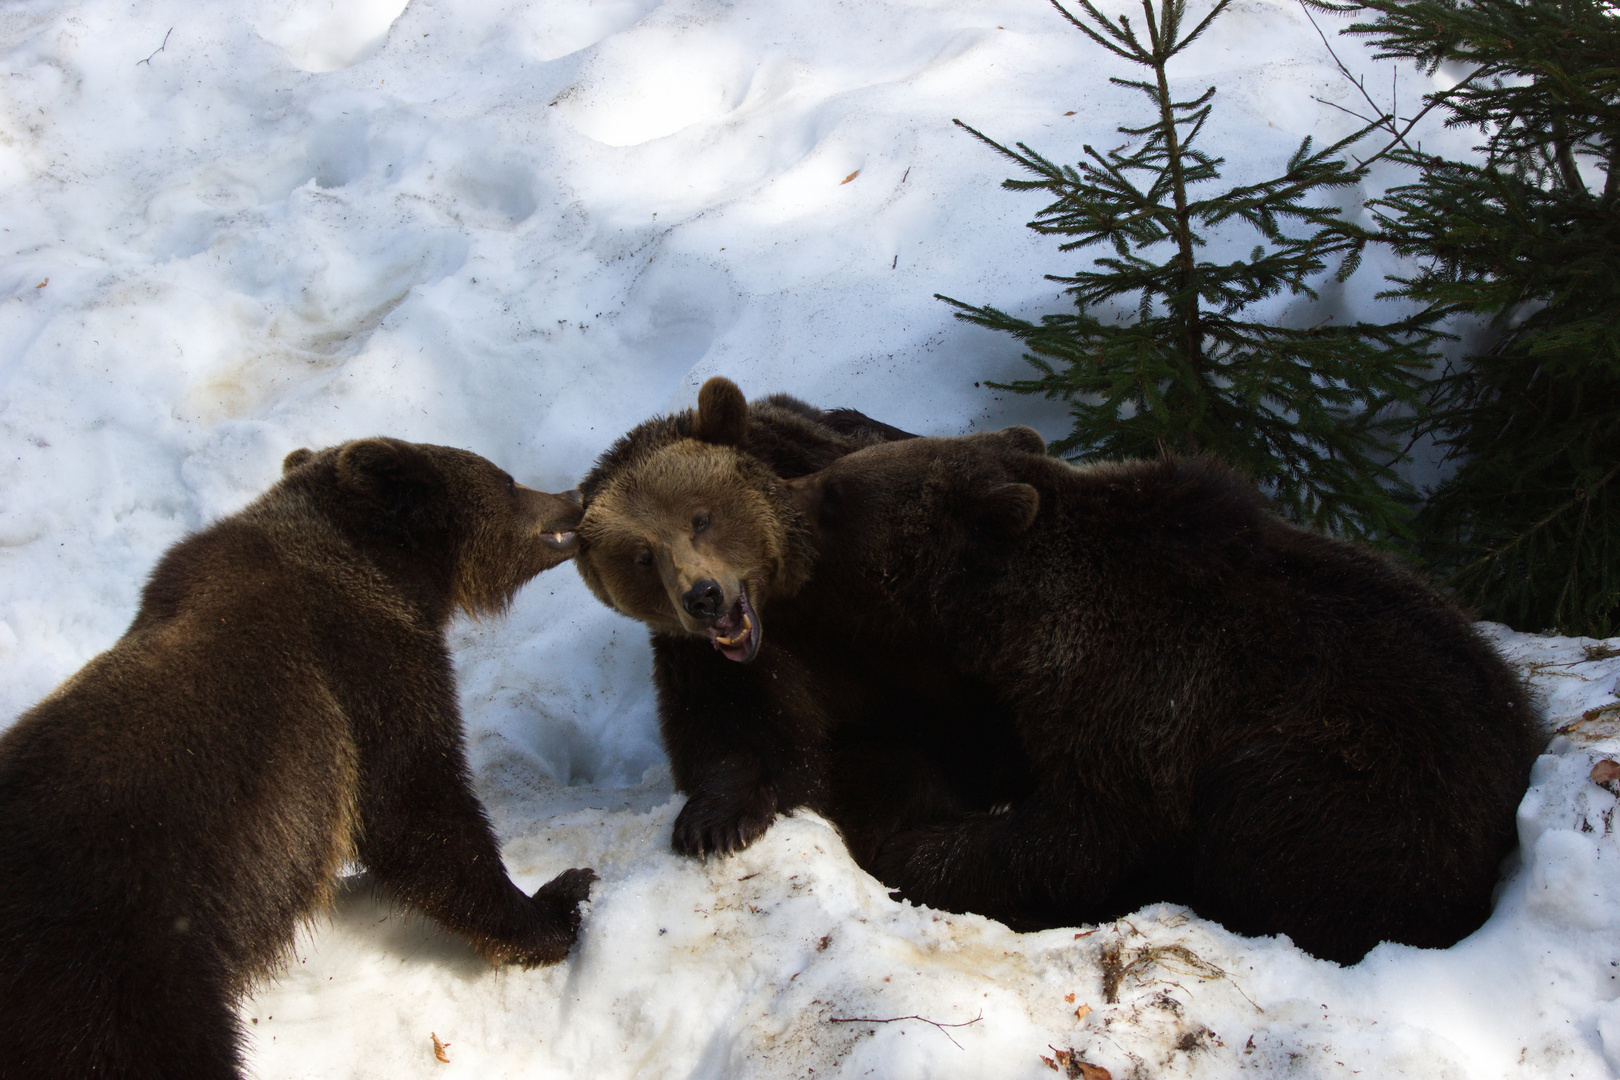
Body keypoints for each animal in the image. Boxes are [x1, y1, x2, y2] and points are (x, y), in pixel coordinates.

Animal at [0, 440, 596, 1080]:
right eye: (506, 480)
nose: (574, 495)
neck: (384, 574)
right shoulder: (364, 677)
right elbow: (418, 810)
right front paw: (556, 905)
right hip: (120, 967)